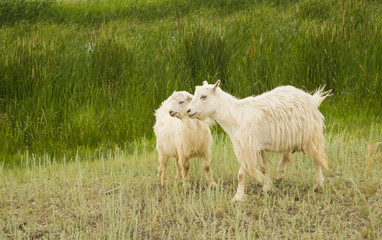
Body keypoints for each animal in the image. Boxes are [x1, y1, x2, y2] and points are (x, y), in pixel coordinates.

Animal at [187, 80, 330, 201]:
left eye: (204, 96)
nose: (188, 111)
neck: (236, 117)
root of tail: (312, 99)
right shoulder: (257, 147)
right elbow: (263, 168)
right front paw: (267, 187)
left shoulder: (247, 147)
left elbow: (241, 174)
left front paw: (237, 197)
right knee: (287, 152)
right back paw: (279, 174)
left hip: (311, 135)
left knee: (317, 159)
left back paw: (318, 185)